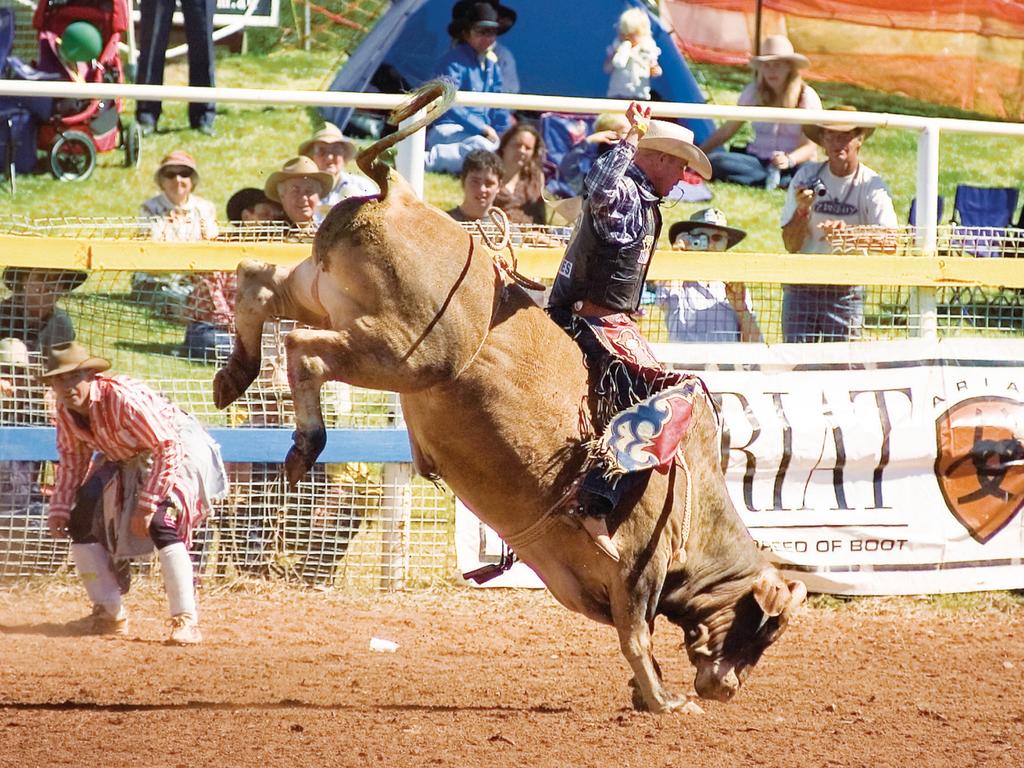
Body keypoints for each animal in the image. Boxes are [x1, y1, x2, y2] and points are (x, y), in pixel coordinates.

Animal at [218, 81, 806, 712]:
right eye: (764, 627)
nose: (728, 688)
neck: (689, 503)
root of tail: (397, 194)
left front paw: (647, 692)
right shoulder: (636, 574)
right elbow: (638, 637)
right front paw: (662, 699)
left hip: (322, 294)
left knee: (256, 283)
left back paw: (234, 376)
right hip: (404, 353)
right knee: (304, 351)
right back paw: (304, 442)